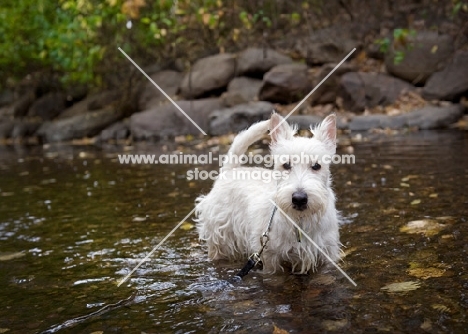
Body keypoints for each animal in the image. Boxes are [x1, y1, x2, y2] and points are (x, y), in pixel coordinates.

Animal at [196, 113, 342, 274]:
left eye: (316, 166)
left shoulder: (327, 254)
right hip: (220, 237)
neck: (300, 222)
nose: (299, 198)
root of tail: (230, 170)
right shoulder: (271, 257)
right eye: (286, 165)